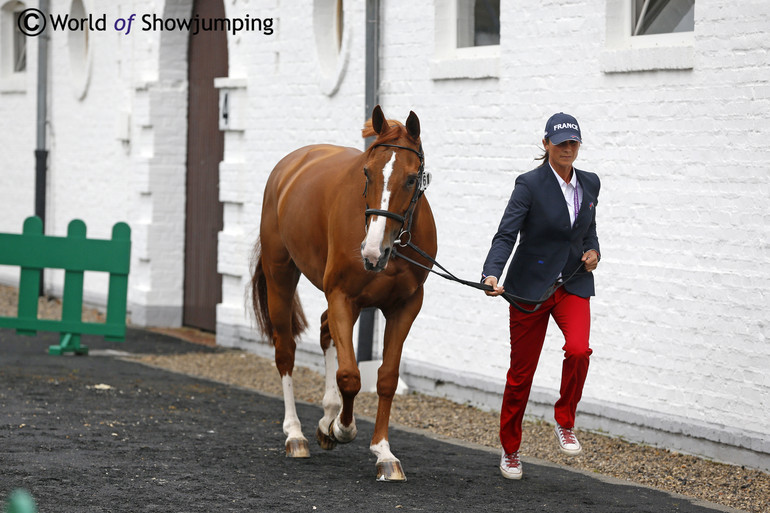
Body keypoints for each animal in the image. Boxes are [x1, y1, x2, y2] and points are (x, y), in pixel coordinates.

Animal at [250, 105, 436, 480]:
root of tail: (290, 165)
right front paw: (342, 428)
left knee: (325, 330)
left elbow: (386, 378)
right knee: (285, 351)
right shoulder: (341, 296)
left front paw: (383, 452)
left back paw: (326, 417)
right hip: (281, 276)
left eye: (412, 178)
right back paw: (296, 435)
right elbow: (349, 375)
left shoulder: (405, 305)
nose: (372, 252)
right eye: (367, 172)